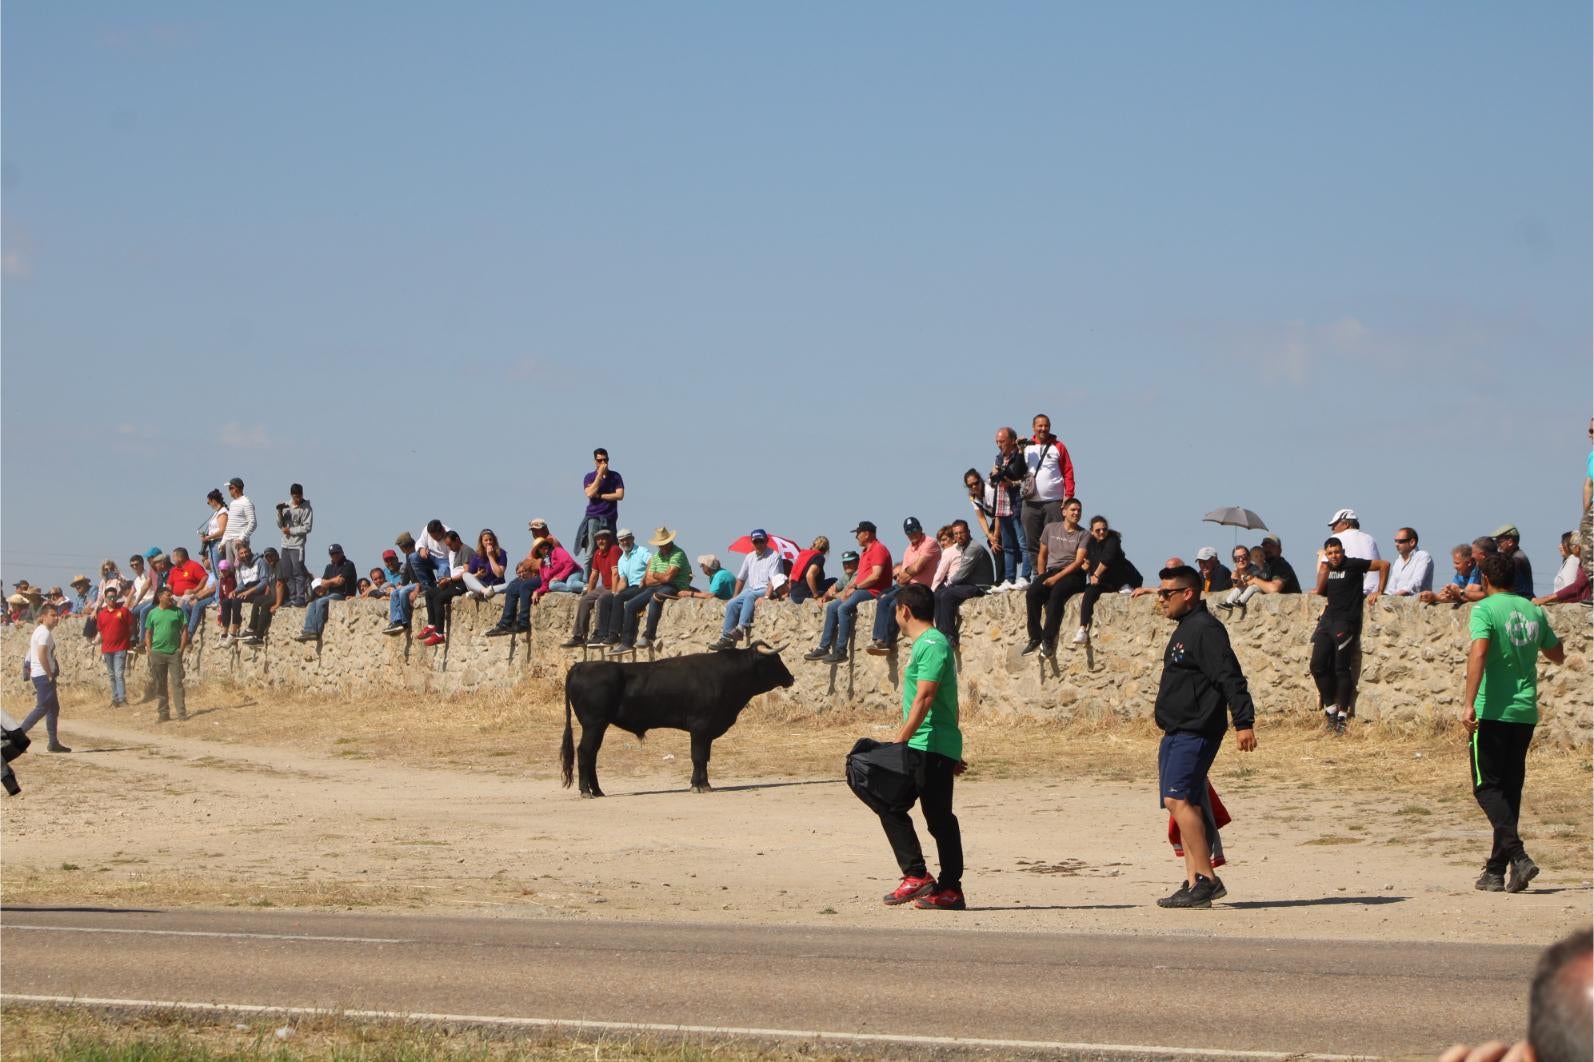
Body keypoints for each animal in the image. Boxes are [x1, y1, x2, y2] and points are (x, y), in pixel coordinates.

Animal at [561, 637, 797, 794]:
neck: (728, 675)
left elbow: (704, 758)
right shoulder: (700, 727)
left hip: (598, 726)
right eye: (775, 660)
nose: (791, 678)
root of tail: (579, 666)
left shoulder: (707, 731)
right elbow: (698, 756)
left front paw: (702, 783)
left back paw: (598, 790)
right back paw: (586, 791)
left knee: (592, 754)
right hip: (594, 724)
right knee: (584, 752)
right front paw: (700, 786)